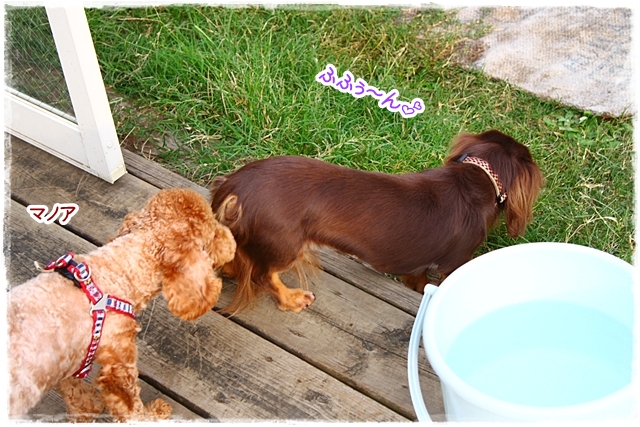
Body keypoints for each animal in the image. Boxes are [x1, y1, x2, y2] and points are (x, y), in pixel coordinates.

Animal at [8, 188, 236, 421]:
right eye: (213, 233)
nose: (232, 240)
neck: (118, 272)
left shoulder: (66, 362)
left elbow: (73, 392)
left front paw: (88, 407)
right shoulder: (119, 366)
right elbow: (133, 411)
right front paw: (155, 413)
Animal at [210, 130, 543, 314]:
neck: (474, 179)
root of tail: (233, 190)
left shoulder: (416, 267)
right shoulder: (454, 263)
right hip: (284, 246)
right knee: (263, 276)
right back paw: (293, 299)